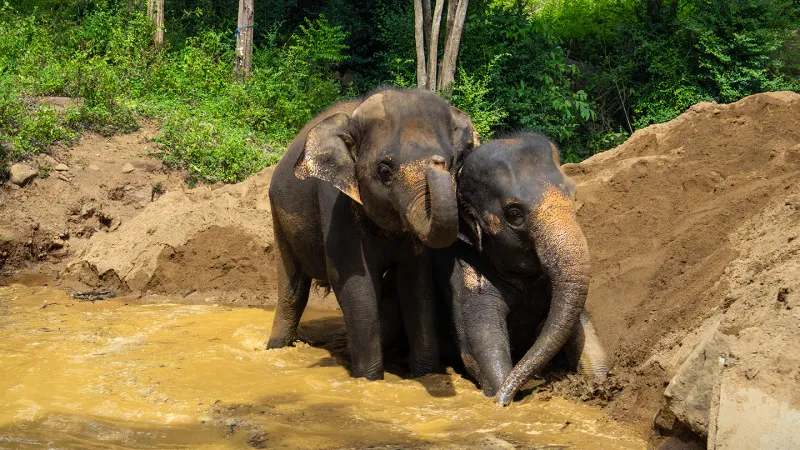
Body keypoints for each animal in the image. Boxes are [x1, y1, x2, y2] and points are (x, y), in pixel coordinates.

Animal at [266, 88, 479, 381]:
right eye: (385, 171)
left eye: (450, 162)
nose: (437, 163)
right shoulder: (337, 202)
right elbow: (353, 281)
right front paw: (369, 380)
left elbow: (416, 282)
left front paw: (425, 376)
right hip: (279, 218)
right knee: (293, 291)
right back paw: (274, 349)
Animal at [433, 132, 608, 406]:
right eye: (514, 213)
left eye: (574, 195)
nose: (502, 401)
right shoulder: (461, 272)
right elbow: (479, 352)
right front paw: (501, 395)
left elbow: (583, 327)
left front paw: (599, 384)